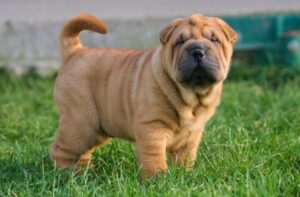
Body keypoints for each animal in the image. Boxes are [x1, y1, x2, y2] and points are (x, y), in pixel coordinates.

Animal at [49, 13, 237, 179]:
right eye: (180, 42)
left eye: (214, 40)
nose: (197, 50)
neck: (191, 97)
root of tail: (75, 53)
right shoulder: (152, 127)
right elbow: (154, 159)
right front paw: (158, 182)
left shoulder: (191, 135)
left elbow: (185, 159)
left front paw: (183, 176)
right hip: (81, 123)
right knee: (62, 150)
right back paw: (69, 176)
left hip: (97, 129)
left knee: (83, 153)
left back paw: (86, 173)